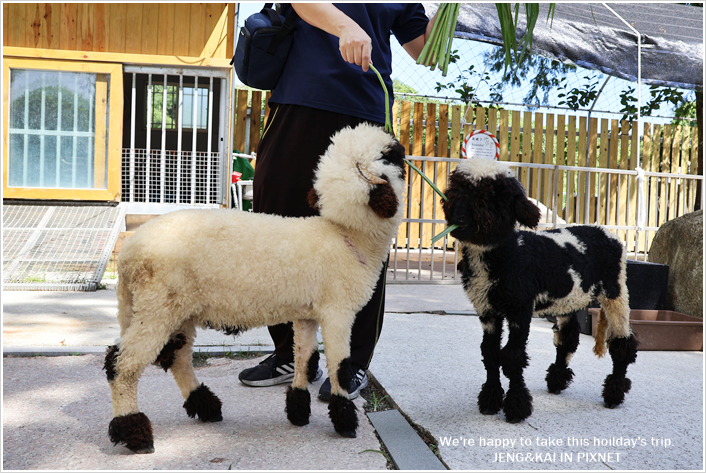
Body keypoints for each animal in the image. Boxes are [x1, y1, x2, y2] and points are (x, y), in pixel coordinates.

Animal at [102, 122, 404, 454]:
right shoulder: (337, 312)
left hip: (174, 309)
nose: (401, 146)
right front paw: (345, 422)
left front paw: (298, 412)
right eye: (388, 155)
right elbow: (339, 365)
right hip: (158, 307)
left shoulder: (306, 313)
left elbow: (304, 356)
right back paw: (135, 432)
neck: (347, 236)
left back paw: (205, 405)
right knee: (122, 365)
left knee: (178, 359)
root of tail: (129, 254)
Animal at [442, 157, 636, 422]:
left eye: (492, 194)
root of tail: (605, 231)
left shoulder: (520, 308)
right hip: (569, 299)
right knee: (567, 337)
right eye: (458, 188)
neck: (507, 253)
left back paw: (614, 394)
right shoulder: (487, 311)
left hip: (615, 291)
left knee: (622, 342)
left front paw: (516, 407)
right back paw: (557, 380)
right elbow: (490, 354)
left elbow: (512, 356)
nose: (460, 214)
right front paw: (490, 402)